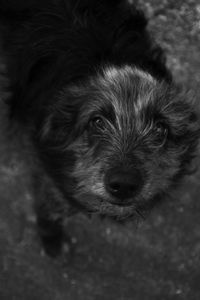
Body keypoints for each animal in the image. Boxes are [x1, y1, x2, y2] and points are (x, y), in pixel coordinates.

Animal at [0, 0, 199, 256]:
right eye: (96, 121)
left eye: (160, 129)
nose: (124, 185)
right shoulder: (45, 167)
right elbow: (49, 201)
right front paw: (52, 238)